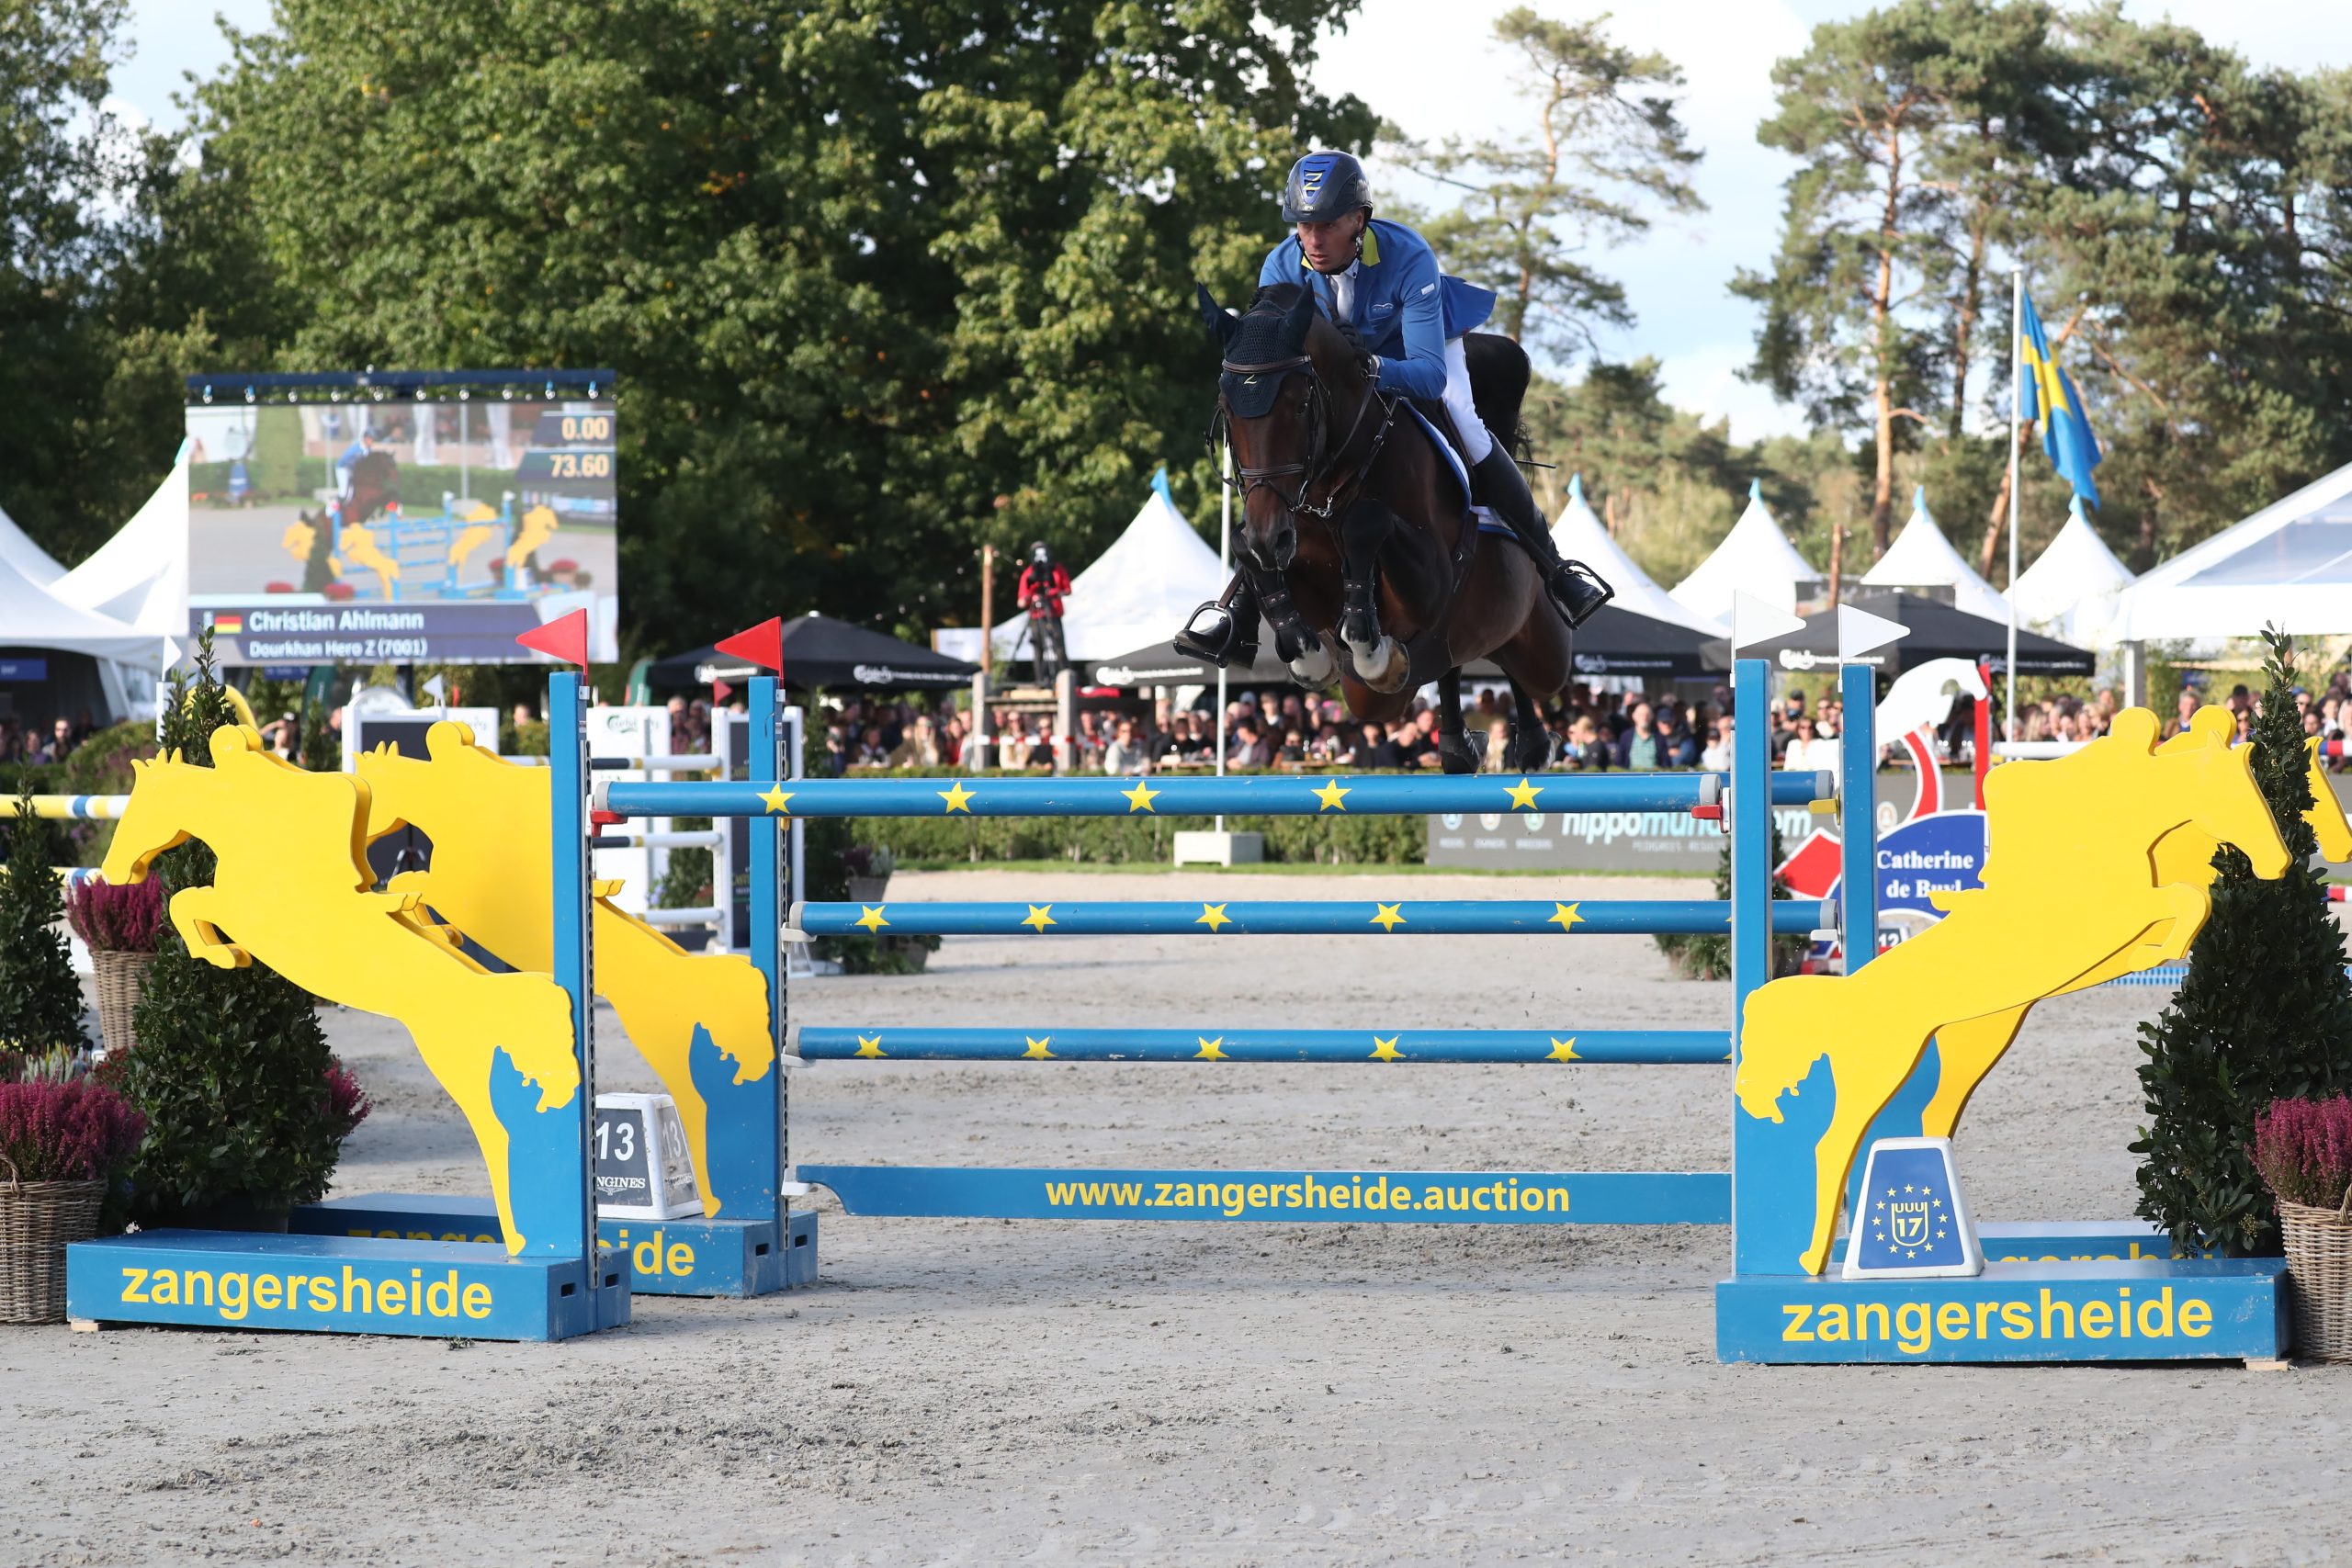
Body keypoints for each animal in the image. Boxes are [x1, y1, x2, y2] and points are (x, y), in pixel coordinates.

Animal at [1740, 709, 2286, 1279]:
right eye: (2237, 795)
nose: (2279, 863)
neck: (2106, 828)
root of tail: (1846, 998)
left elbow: (2190, 899)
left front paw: (2158, 950)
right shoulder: (2118, 913)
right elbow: (2187, 898)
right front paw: (2156, 951)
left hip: (1971, 1039)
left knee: (1929, 1116)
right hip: (1880, 1067)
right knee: (1834, 1142)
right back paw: (1812, 1258)